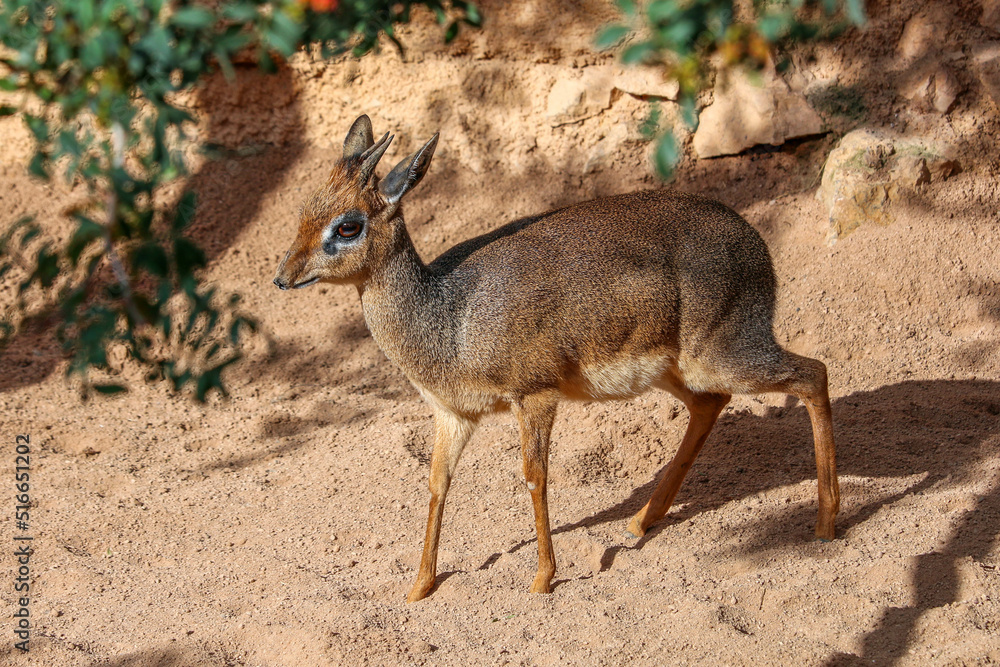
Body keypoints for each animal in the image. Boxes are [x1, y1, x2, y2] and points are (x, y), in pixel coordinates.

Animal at [273, 115, 839, 602]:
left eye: (348, 226)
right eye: (304, 209)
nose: (283, 276)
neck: (449, 317)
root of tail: (756, 243)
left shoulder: (536, 394)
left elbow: (534, 476)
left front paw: (543, 578)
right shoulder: (452, 414)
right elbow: (437, 485)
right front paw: (419, 587)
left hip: (723, 353)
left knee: (813, 373)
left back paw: (827, 523)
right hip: (678, 370)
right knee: (713, 404)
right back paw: (641, 522)